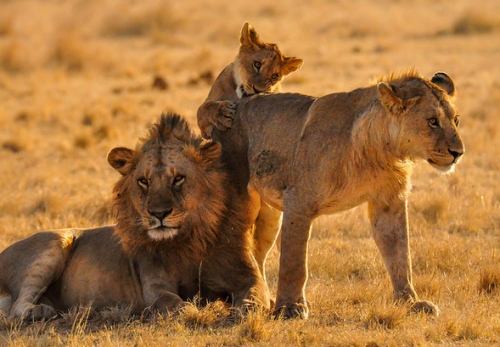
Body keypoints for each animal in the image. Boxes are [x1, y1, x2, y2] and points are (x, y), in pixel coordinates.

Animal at [0, 113, 270, 320]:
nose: (159, 214)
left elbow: (256, 298)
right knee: (17, 306)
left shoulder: (248, 277)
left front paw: (246, 310)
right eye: (143, 181)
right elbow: (176, 304)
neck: (189, 240)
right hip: (54, 243)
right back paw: (39, 311)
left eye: (178, 178)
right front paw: (199, 311)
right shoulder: (155, 287)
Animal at [203, 69, 464, 320]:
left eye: (456, 120)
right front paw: (289, 308)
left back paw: (264, 299)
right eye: (432, 121)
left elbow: (400, 255)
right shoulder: (298, 201)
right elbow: (294, 262)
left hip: (268, 216)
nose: (458, 152)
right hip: (240, 200)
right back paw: (248, 303)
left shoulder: (389, 202)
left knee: (256, 253)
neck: (382, 151)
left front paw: (410, 302)